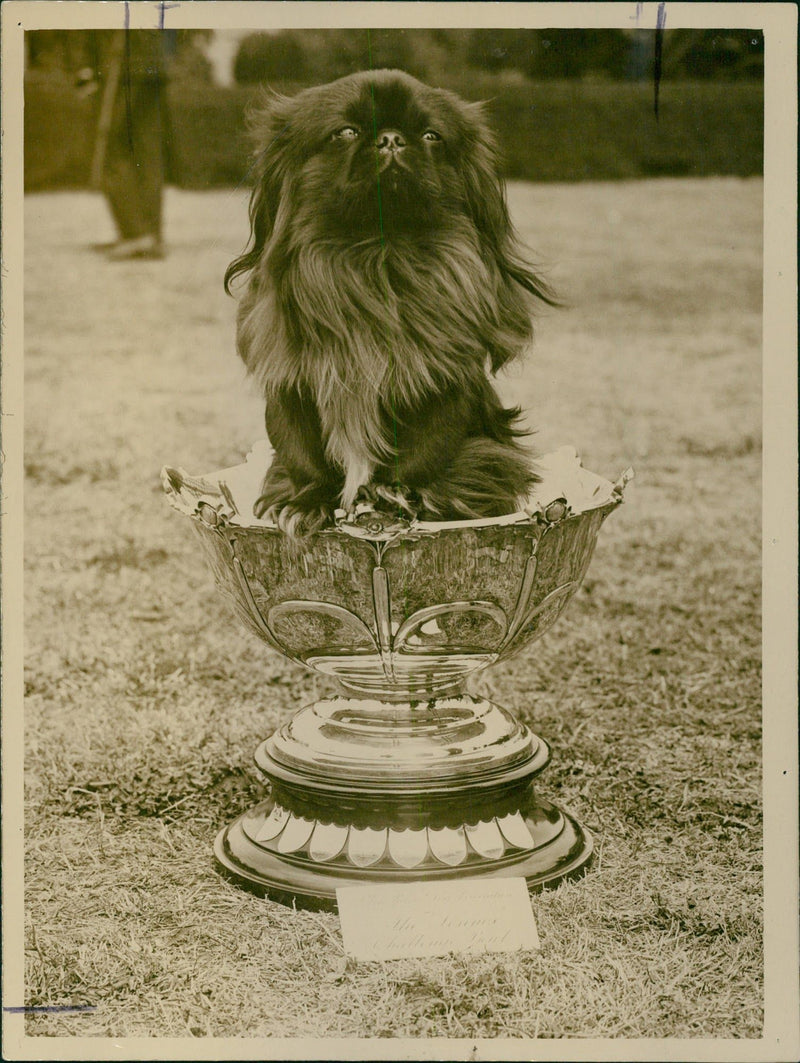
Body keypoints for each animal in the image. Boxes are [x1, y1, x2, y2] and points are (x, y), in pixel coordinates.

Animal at [222, 68, 552, 531]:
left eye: (432, 136)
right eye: (345, 132)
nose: (392, 138)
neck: (377, 257)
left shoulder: (443, 383)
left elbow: (425, 452)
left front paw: (396, 498)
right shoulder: (293, 382)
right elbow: (301, 452)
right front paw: (305, 502)